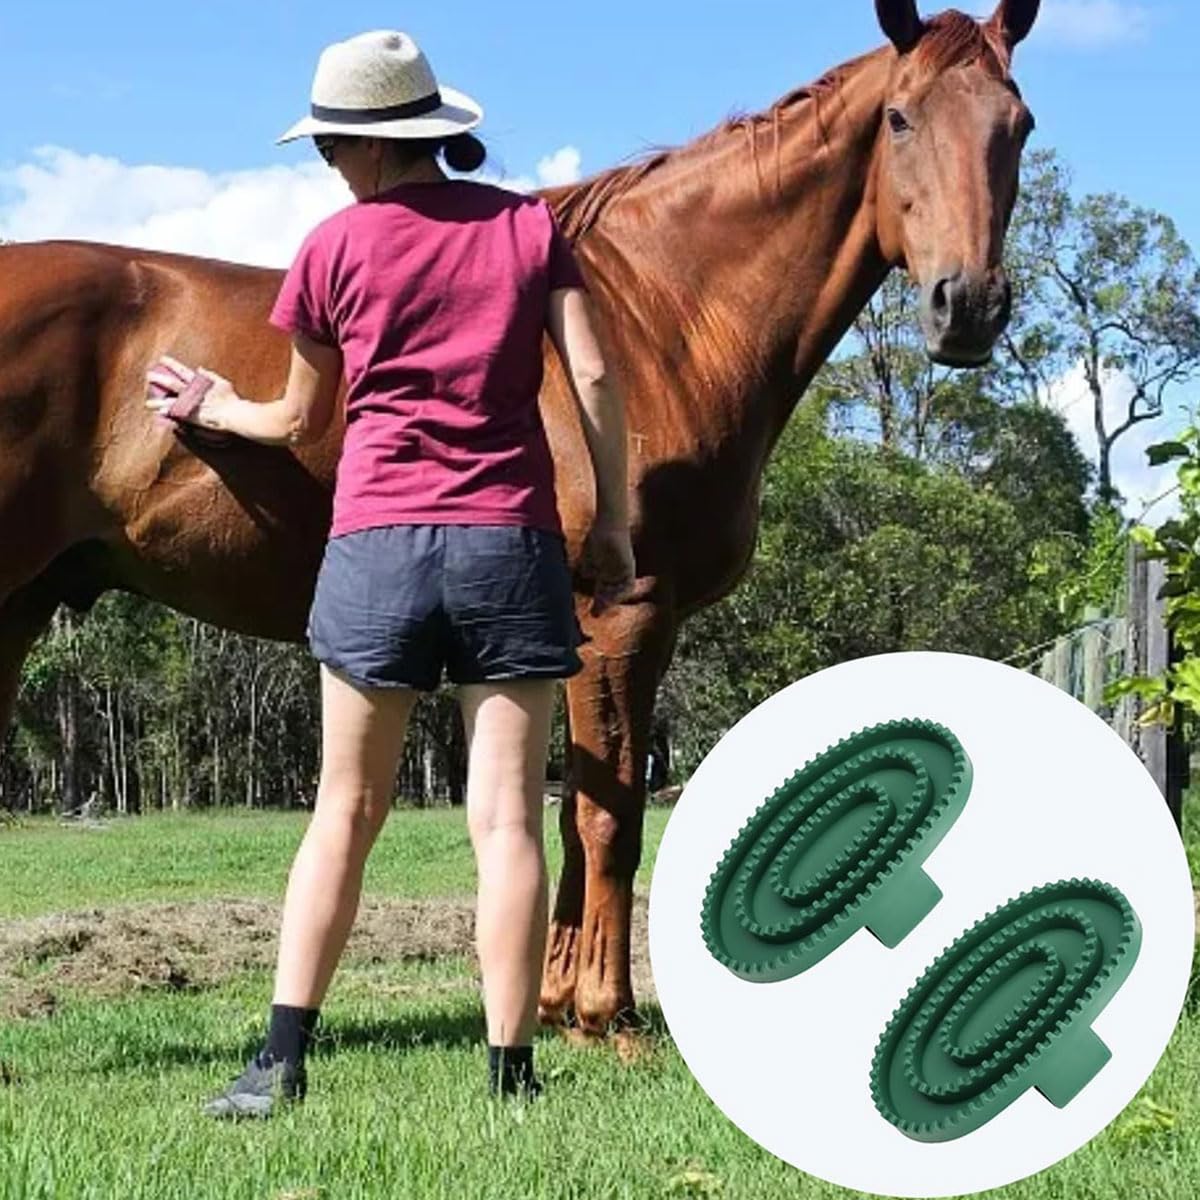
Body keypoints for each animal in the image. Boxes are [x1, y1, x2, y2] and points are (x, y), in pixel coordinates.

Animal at [0, 0, 1041, 1034]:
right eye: (899, 119)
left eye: (1018, 124)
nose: (967, 308)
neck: (663, 319)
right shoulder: (623, 616)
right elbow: (609, 815)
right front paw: (608, 1012)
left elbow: (577, 808)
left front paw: (557, 1000)